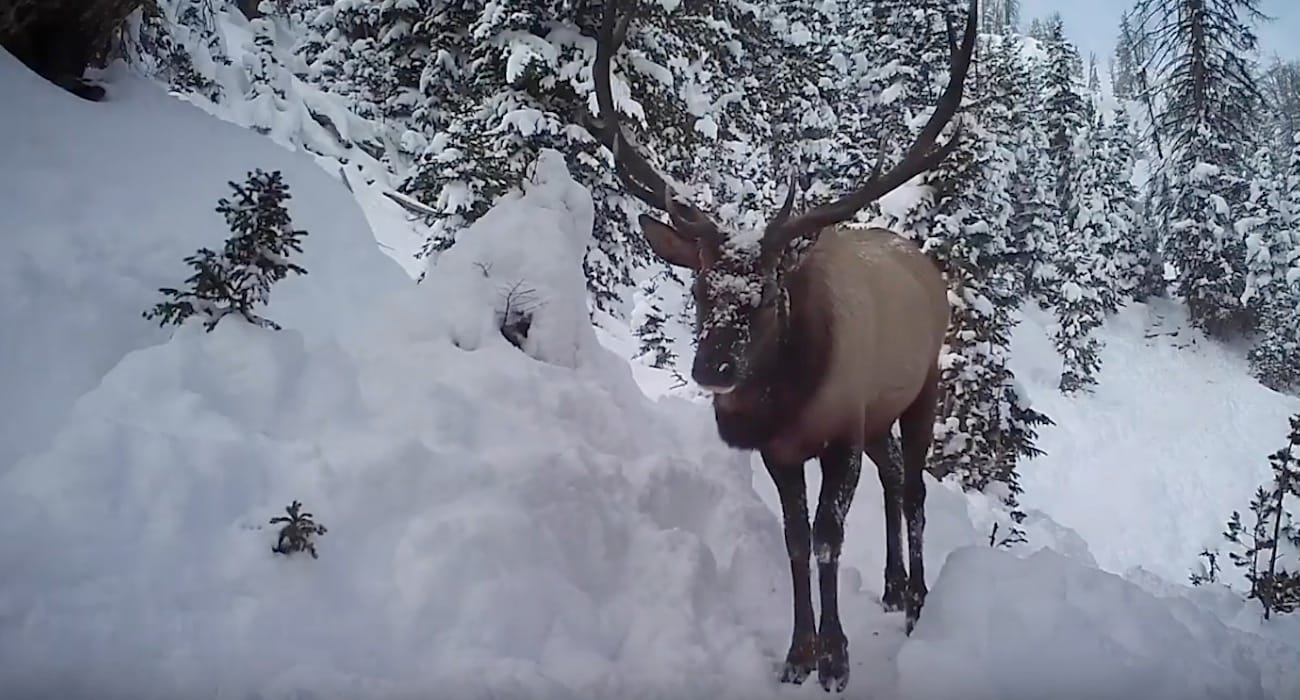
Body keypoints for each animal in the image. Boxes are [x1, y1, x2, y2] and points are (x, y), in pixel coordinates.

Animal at [590, 0, 977, 686]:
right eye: (699, 287)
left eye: (769, 294)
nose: (713, 367)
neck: (790, 402)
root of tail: (924, 262)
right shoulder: (781, 450)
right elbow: (795, 538)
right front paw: (799, 651)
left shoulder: (842, 434)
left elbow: (827, 538)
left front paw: (836, 658)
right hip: (880, 414)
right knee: (893, 477)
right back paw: (892, 585)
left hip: (922, 388)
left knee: (914, 489)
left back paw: (918, 600)